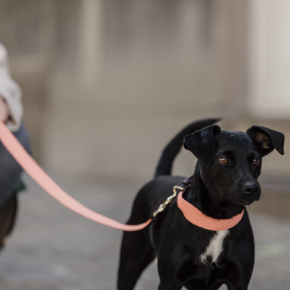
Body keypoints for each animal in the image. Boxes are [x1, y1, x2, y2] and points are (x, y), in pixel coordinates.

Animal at [117, 118, 284, 290]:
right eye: (223, 159)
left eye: (256, 160)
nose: (252, 188)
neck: (218, 219)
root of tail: (160, 177)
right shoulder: (170, 281)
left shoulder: (239, 281)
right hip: (129, 265)